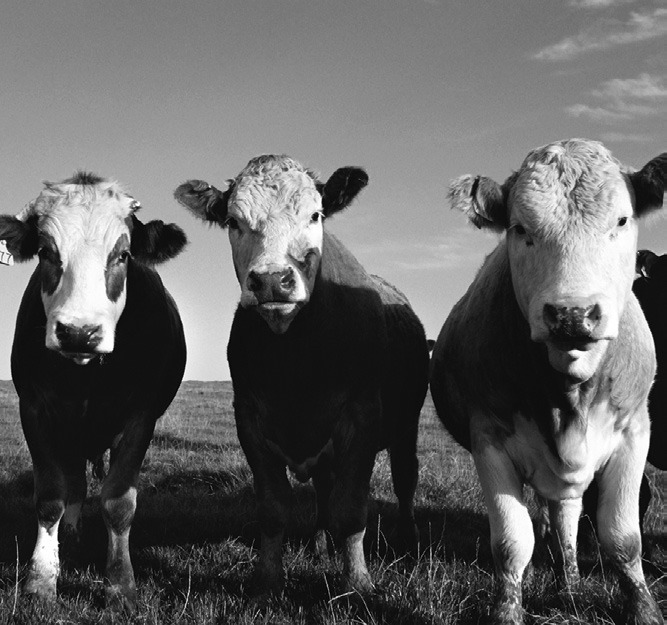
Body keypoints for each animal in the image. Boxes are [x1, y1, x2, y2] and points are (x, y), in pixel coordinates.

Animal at [0, 172, 187, 609]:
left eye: (123, 255)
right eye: (46, 252)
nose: (79, 332)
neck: (86, 376)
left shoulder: (140, 416)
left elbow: (118, 502)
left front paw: (120, 586)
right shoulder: (35, 410)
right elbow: (50, 495)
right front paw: (41, 579)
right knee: (75, 483)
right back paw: (69, 533)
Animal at [174, 155, 429, 598]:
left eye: (315, 215)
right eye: (233, 221)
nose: (272, 280)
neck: (295, 366)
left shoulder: (361, 416)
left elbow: (351, 509)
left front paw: (357, 583)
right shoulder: (249, 419)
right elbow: (274, 508)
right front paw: (266, 580)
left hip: (406, 425)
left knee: (405, 479)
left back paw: (408, 539)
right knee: (325, 489)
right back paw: (320, 544)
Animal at [429, 140, 665, 625]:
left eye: (622, 220)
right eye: (520, 228)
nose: (572, 313)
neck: (568, 394)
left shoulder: (636, 430)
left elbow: (623, 538)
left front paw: (645, 610)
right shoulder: (488, 438)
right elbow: (511, 541)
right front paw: (507, 610)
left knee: (566, 518)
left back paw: (569, 581)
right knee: (548, 520)